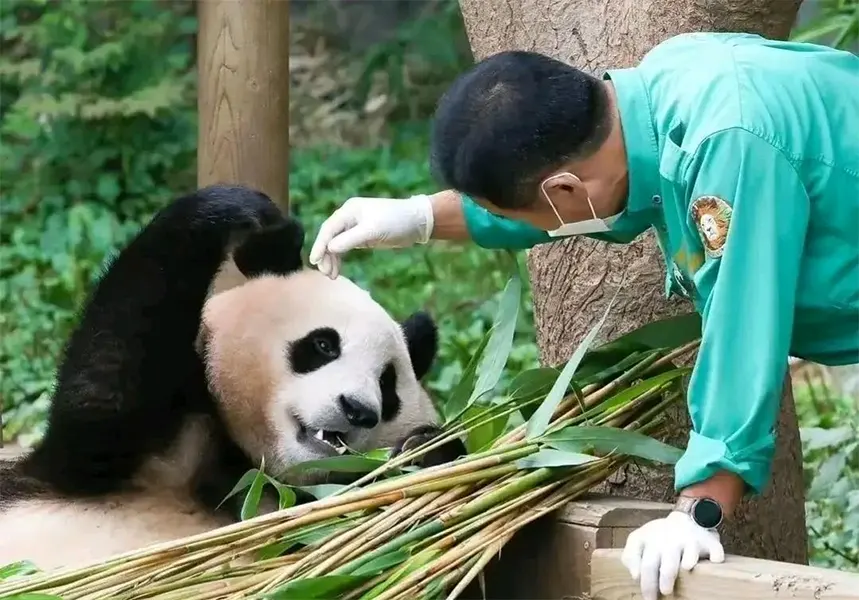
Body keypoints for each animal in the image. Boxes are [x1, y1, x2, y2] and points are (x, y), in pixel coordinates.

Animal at [0, 184, 465, 572]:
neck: (250, 469)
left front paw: (425, 450)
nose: (358, 410)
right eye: (323, 345)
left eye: (387, 384)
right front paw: (247, 210)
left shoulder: (304, 514)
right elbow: (101, 405)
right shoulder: (143, 450)